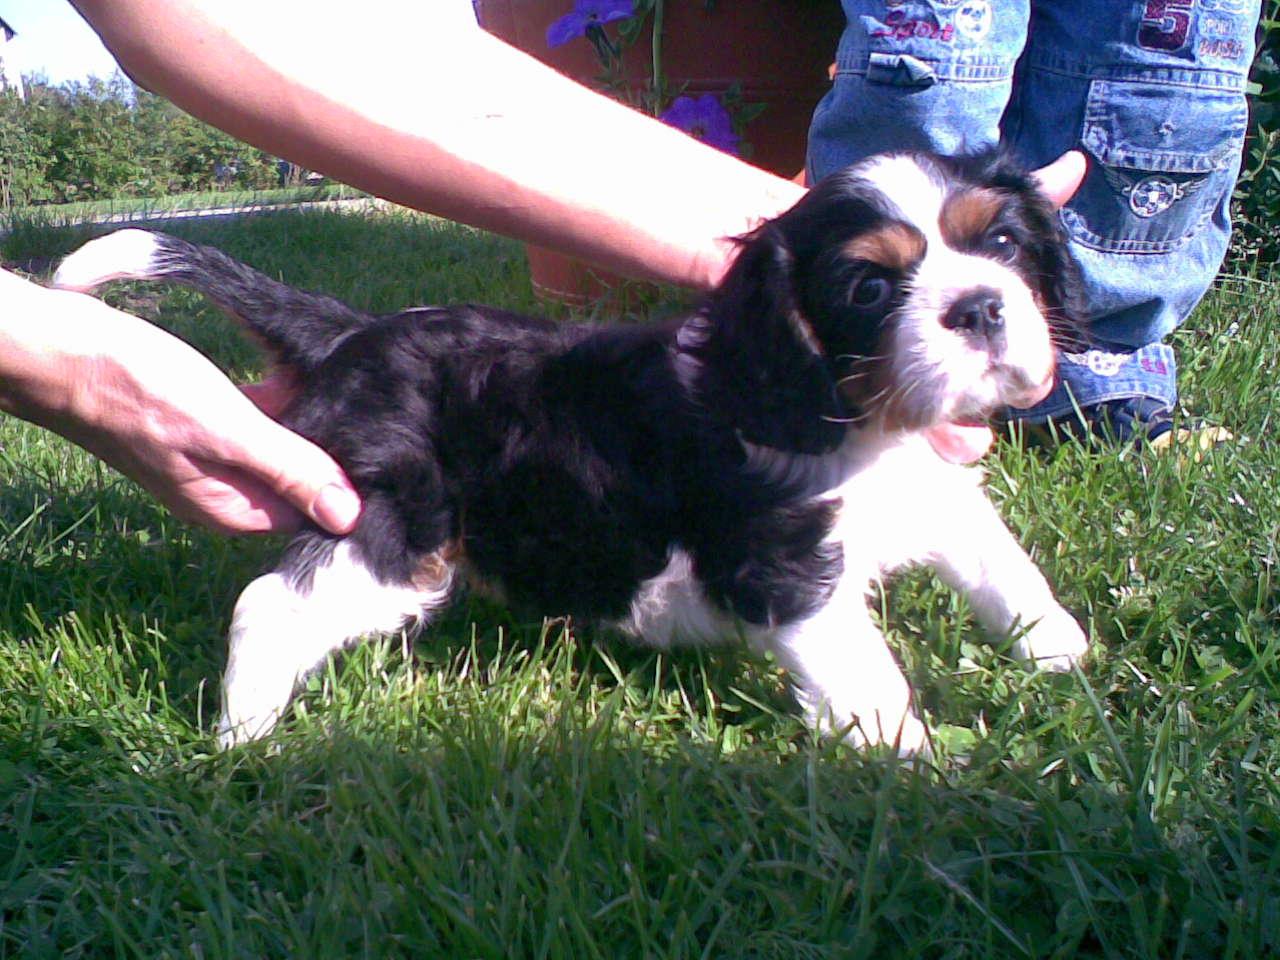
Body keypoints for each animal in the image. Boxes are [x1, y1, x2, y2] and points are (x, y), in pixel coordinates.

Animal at [55, 150, 1085, 757]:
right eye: (869, 287)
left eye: (1001, 242)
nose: (979, 308)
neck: (861, 414)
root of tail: (352, 332)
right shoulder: (785, 565)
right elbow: (865, 669)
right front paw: (908, 766)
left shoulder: (937, 491)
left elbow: (1005, 566)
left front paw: (1064, 660)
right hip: (393, 525)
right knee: (269, 605)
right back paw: (245, 737)